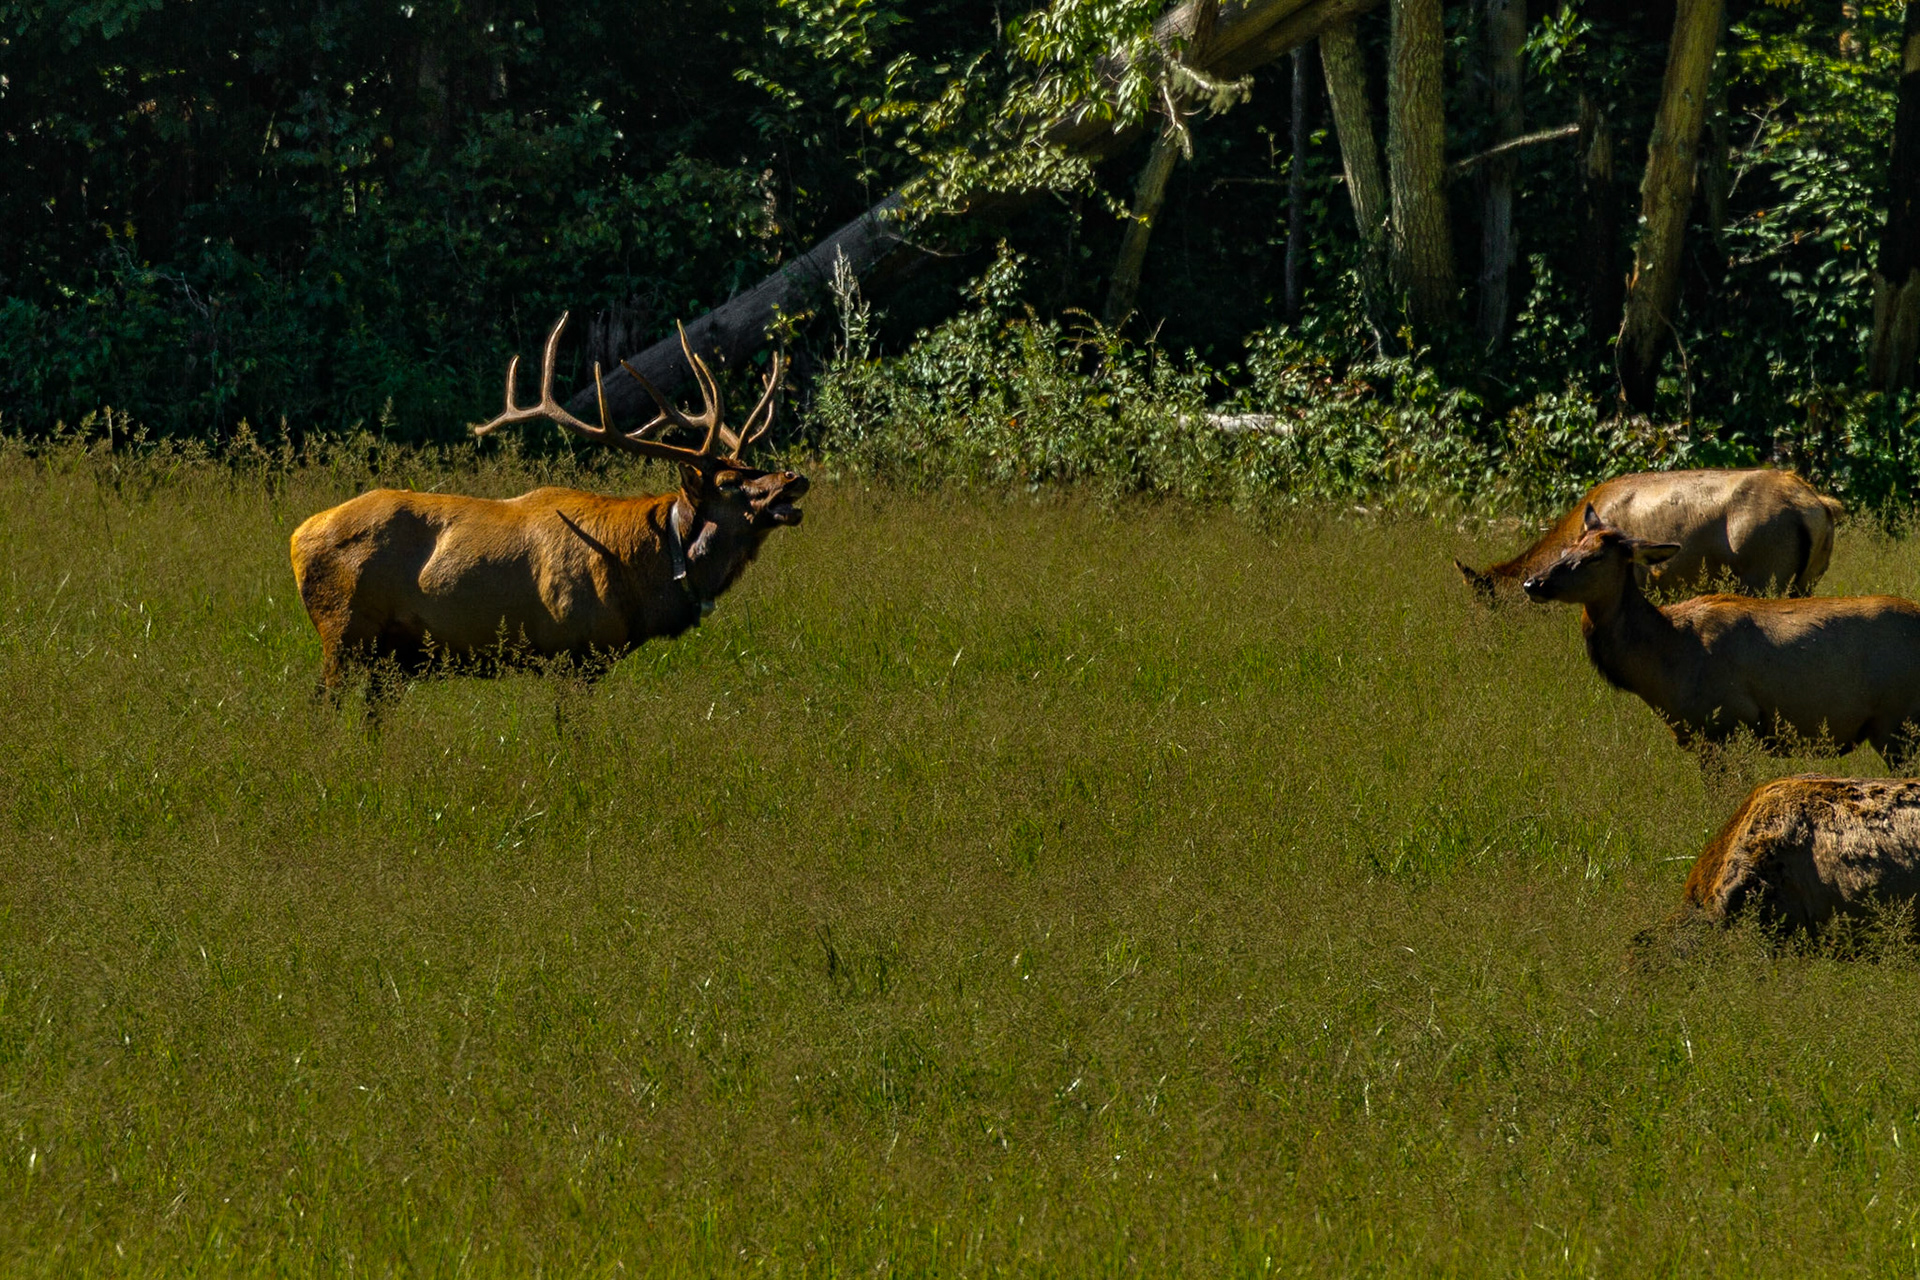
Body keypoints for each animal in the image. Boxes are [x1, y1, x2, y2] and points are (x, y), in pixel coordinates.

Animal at [290, 314, 808, 699]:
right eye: (728, 483)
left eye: (753, 466)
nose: (794, 478)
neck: (641, 572)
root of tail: (296, 538)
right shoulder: (569, 648)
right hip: (342, 632)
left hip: (387, 656)